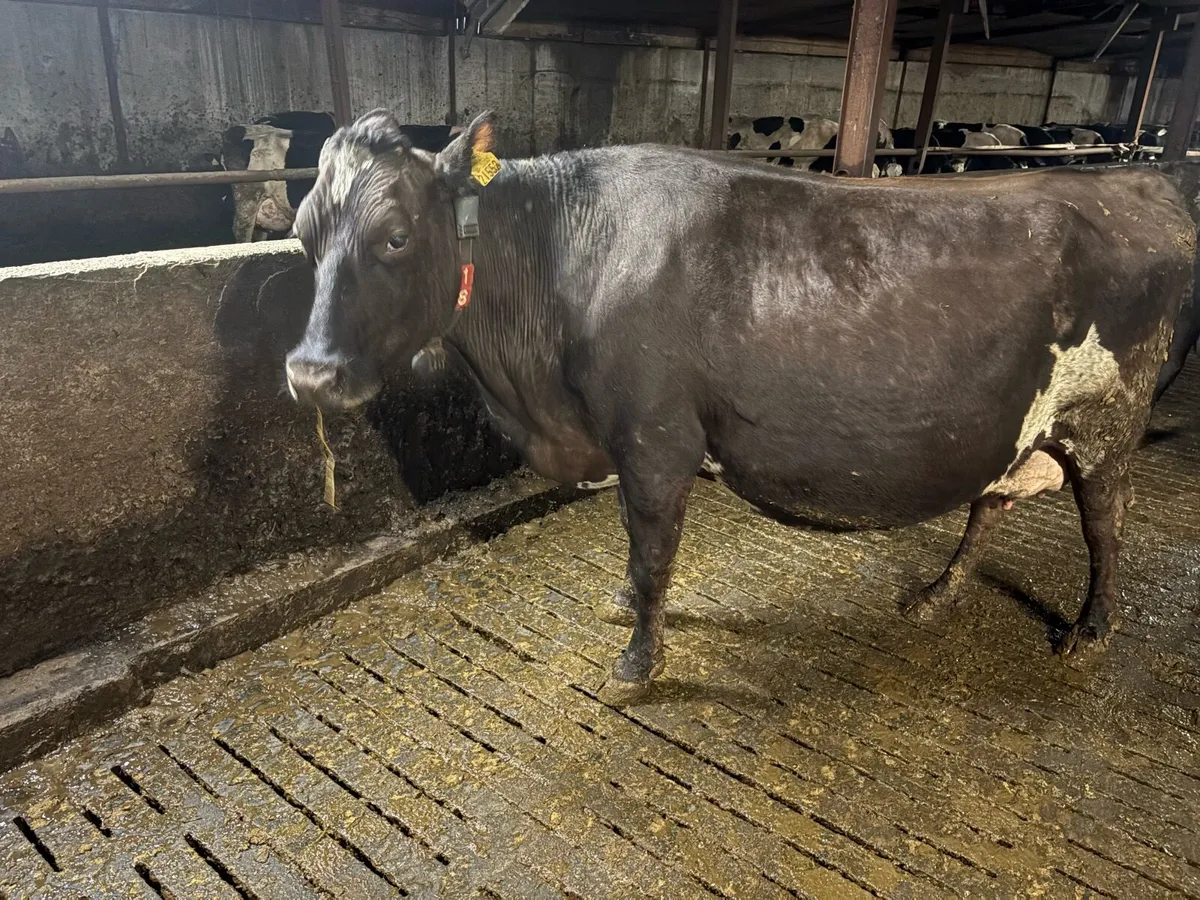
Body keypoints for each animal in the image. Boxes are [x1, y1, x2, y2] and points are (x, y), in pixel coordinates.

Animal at [284, 109, 1195, 701]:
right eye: (302, 233)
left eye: (396, 235)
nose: (310, 374)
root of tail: (1142, 179)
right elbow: (638, 552)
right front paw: (626, 610)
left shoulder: (656, 438)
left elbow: (653, 553)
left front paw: (635, 664)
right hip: (1018, 422)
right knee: (992, 501)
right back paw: (938, 593)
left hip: (1107, 419)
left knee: (1106, 522)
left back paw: (1090, 630)